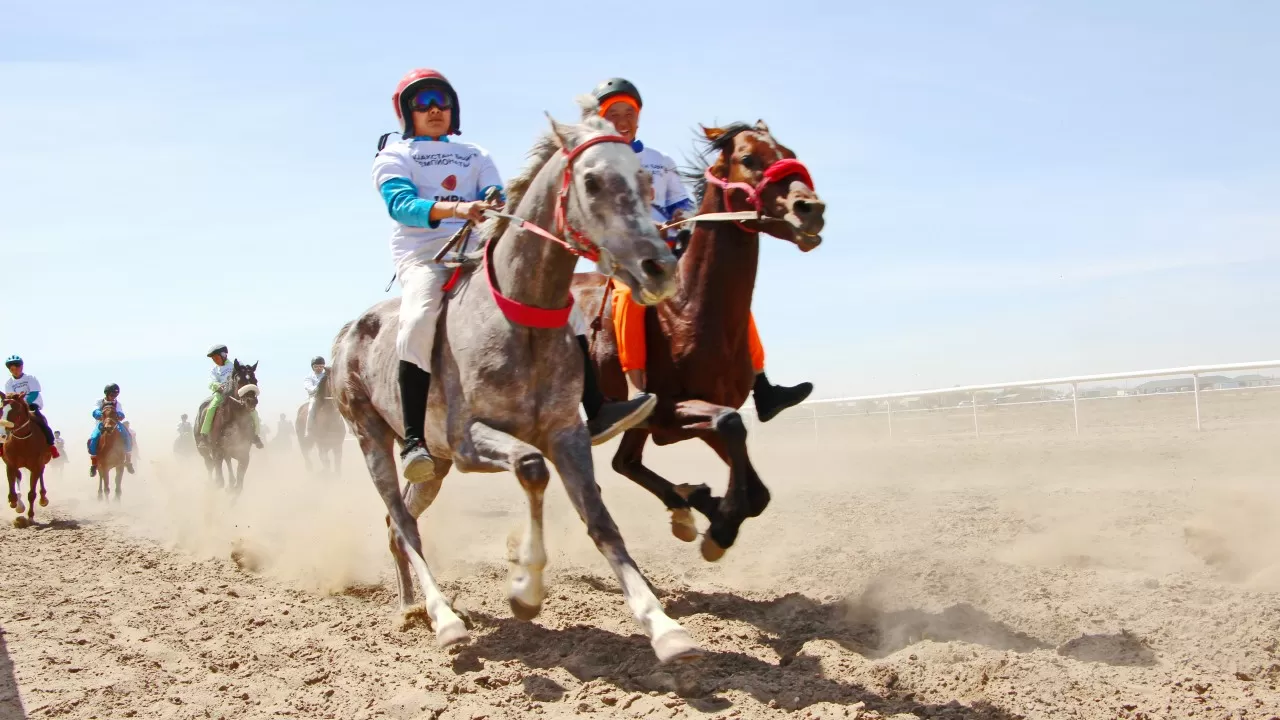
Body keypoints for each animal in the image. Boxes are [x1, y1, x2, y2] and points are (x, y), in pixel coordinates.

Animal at [1, 394, 52, 525]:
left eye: (17, 412)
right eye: (1, 410)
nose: (2, 434)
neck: (23, 441)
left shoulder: (36, 466)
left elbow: (32, 494)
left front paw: (30, 516)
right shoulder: (10, 464)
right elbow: (12, 492)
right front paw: (16, 504)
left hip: (43, 461)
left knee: (41, 474)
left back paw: (43, 498)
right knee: (19, 476)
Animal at [192, 361, 259, 489]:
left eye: (255, 380)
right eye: (239, 381)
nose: (251, 401)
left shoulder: (242, 451)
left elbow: (239, 481)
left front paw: (233, 486)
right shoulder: (217, 450)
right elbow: (219, 476)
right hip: (202, 448)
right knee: (209, 464)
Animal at [330, 105, 701, 661]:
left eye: (645, 181)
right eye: (592, 181)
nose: (659, 268)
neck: (520, 320)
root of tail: (347, 332)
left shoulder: (567, 434)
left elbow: (600, 518)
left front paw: (662, 624)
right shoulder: (469, 440)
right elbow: (530, 468)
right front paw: (526, 589)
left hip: (436, 466)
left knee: (399, 524)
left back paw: (410, 607)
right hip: (374, 439)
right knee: (403, 519)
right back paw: (443, 618)